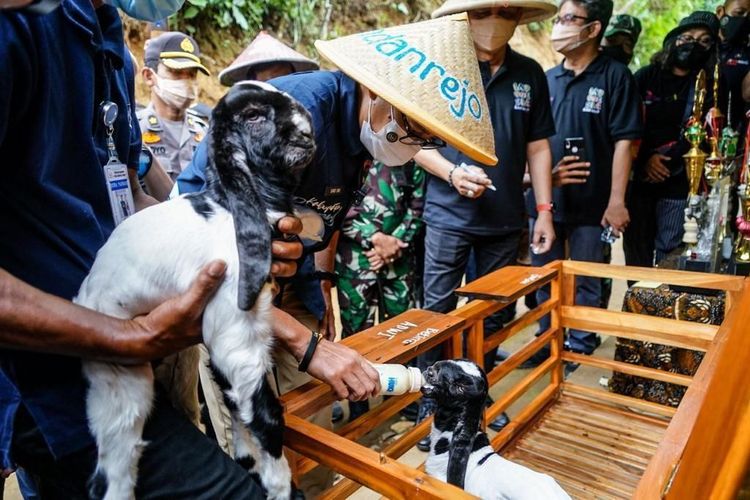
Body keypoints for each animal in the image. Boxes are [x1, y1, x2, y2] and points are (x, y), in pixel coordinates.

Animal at [74, 82, 314, 500]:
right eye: (254, 116)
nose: (306, 134)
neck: (229, 211)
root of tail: (85, 297)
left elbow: (237, 410)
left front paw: (251, 464)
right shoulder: (235, 331)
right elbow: (265, 414)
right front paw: (281, 486)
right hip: (121, 381)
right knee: (116, 469)